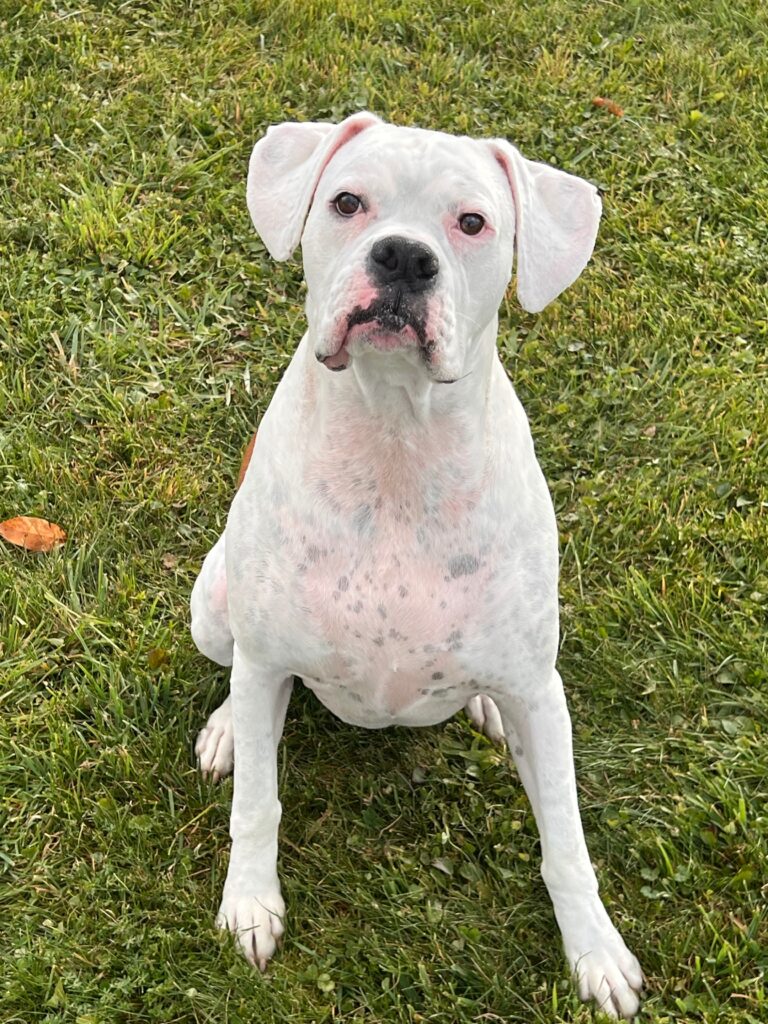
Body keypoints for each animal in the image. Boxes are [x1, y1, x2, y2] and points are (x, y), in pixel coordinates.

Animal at [191, 110, 643, 1015]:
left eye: (472, 223)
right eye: (346, 202)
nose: (403, 257)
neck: (396, 438)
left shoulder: (543, 693)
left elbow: (567, 842)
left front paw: (596, 952)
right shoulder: (265, 660)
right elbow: (259, 802)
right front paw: (250, 904)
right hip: (213, 605)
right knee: (244, 686)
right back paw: (226, 730)